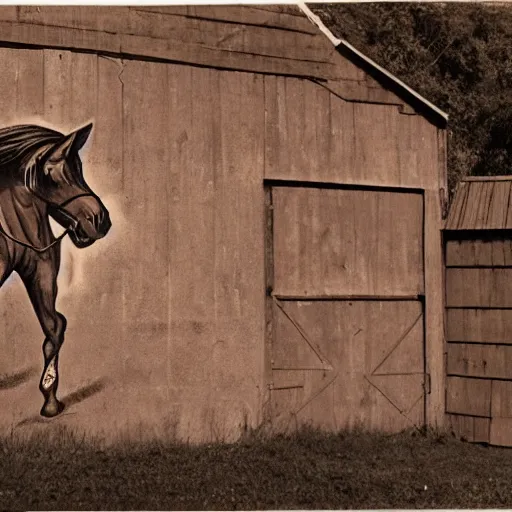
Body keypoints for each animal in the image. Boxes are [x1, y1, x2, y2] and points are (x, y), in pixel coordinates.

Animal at [0, 123, 111, 416]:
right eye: (50, 177)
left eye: (80, 169)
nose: (100, 221)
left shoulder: (40, 272)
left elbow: (54, 326)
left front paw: (50, 398)